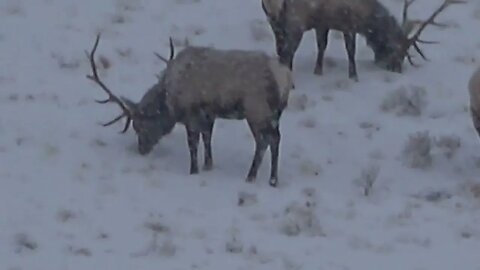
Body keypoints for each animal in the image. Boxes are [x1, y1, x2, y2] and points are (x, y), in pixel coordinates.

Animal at [86, 34, 296, 188]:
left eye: (140, 125)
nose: (141, 150)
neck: (169, 99)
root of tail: (285, 77)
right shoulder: (208, 114)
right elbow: (207, 138)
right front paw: (208, 165)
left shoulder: (191, 114)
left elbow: (193, 144)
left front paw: (193, 170)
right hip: (274, 113)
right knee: (275, 138)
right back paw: (271, 179)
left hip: (256, 110)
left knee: (265, 141)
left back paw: (254, 177)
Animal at [262, 0, 464, 80]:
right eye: (397, 50)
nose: (397, 69)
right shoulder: (349, 24)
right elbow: (350, 50)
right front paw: (354, 76)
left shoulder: (323, 23)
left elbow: (322, 46)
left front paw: (318, 71)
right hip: (295, 22)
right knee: (286, 54)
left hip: (275, 23)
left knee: (281, 51)